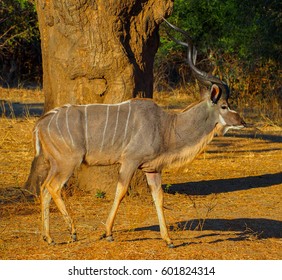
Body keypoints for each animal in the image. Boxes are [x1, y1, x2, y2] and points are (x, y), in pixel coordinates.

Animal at [28, 20, 245, 247]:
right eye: (224, 106)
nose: (242, 121)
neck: (167, 126)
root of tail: (41, 123)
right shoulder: (130, 161)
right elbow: (120, 192)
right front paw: (108, 233)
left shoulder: (152, 169)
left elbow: (158, 198)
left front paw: (168, 239)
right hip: (69, 162)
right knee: (53, 187)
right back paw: (72, 232)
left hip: (57, 163)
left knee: (44, 188)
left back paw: (48, 236)